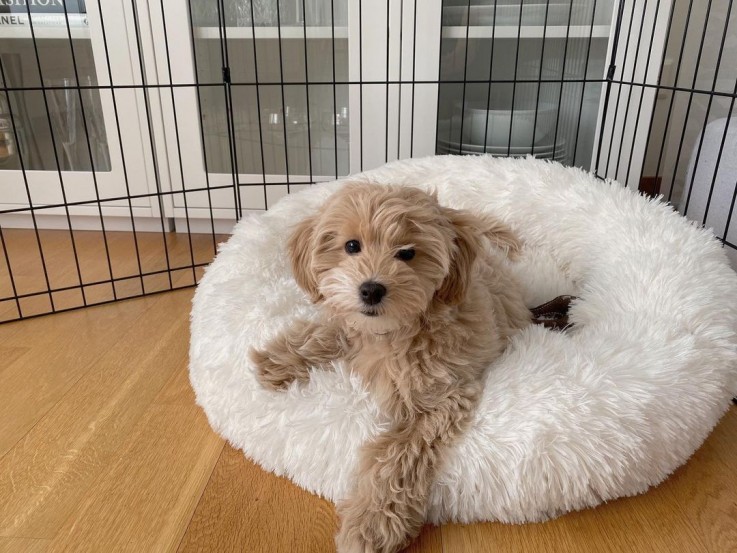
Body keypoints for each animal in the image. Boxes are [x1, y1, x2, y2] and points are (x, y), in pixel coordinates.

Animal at [253, 184, 528, 552]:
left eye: (407, 253)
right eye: (351, 246)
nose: (371, 289)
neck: (393, 333)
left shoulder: (439, 398)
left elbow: (397, 456)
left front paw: (372, 523)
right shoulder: (351, 327)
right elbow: (329, 331)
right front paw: (278, 359)